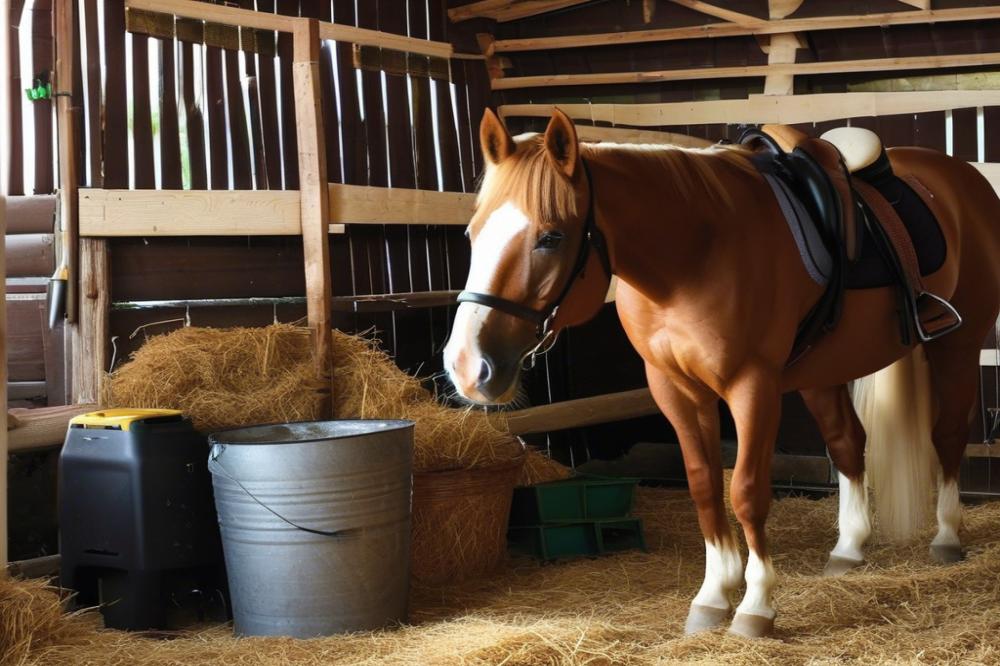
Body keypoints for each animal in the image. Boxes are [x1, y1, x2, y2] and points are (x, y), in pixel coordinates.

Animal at [444, 110, 1000, 640]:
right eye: (471, 234)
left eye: (551, 237)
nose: (467, 365)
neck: (694, 254)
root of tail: (960, 176)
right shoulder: (674, 389)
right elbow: (704, 487)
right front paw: (713, 595)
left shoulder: (752, 388)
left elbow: (747, 493)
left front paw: (756, 606)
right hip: (823, 373)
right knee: (848, 443)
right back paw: (848, 547)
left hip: (956, 347)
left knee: (947, 435)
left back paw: (947, 537)